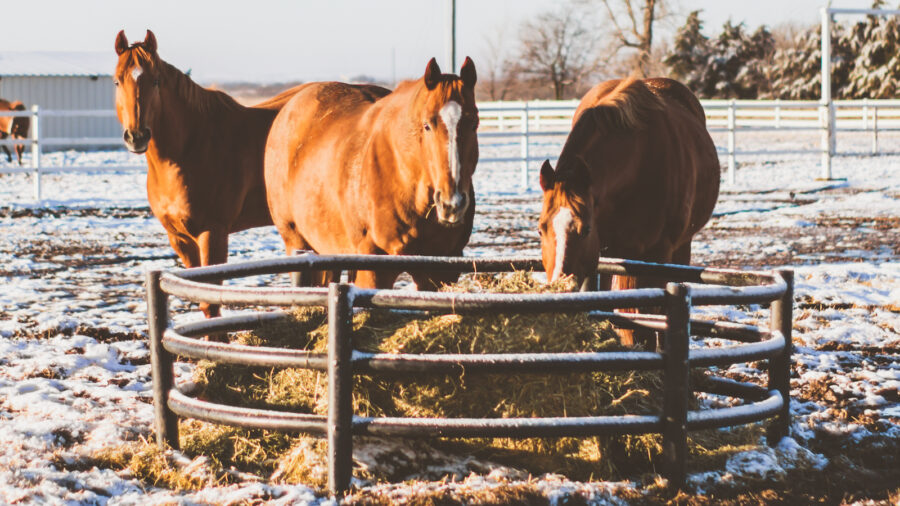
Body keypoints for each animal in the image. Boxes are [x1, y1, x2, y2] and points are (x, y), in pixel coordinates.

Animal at [114, 30, 304, 323]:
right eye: (117, 81)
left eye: (155, 81)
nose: (136, 136)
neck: (190, 147)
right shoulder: (179, 238)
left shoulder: (212, 232)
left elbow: (211, 302)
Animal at [264, 57, 478, 289]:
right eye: (427, 125)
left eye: (474, 123)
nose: (452, 203)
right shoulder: (374, 270)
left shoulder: (440, 272)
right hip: (296, 242)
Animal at [538, 78, 720, 348]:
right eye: (541, 229)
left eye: (586, 229)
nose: (559, 288)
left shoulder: (657, 254)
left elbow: (651, 316)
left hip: (678, 248)